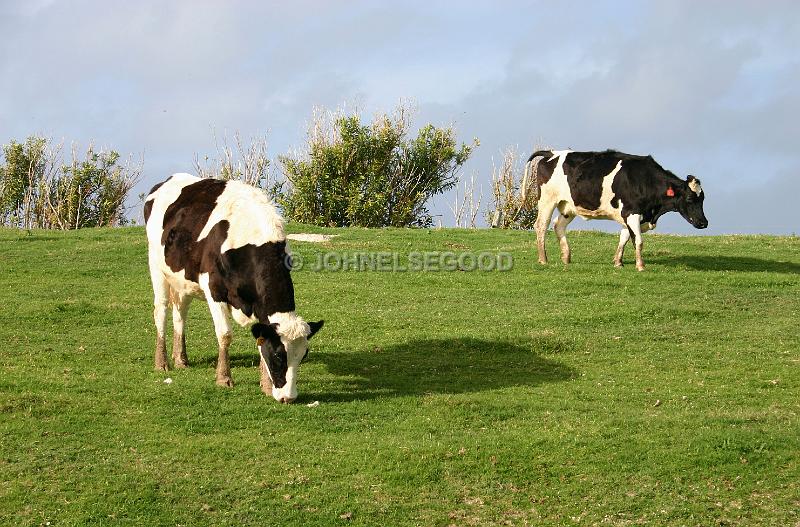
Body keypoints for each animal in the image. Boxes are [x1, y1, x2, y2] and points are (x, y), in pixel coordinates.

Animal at [144, 174, 322, 404]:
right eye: (278, 355)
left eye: (303, 355)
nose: (288, 398)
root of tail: (169, 179)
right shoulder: (213, 289)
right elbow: (225, 335)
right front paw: (224, 378)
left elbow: (260, 338)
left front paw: (266, 385)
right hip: (156, 266)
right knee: (161, 310)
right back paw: (162, 363)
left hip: (183, 278)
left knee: (180, 313)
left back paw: (181, 359)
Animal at [528, 150, 708, 270]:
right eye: (690, 199)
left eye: (703, 199)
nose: (704, 223)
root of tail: (551, 152)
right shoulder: (631, 212)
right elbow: (638, 241)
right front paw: (640, 265)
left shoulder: (628, 216)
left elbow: (624, 238)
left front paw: (618, 262)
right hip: (547, 201)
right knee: (541, 226)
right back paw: (543, 259)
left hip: (568, 206)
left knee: (558, 226)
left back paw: (566, 257)